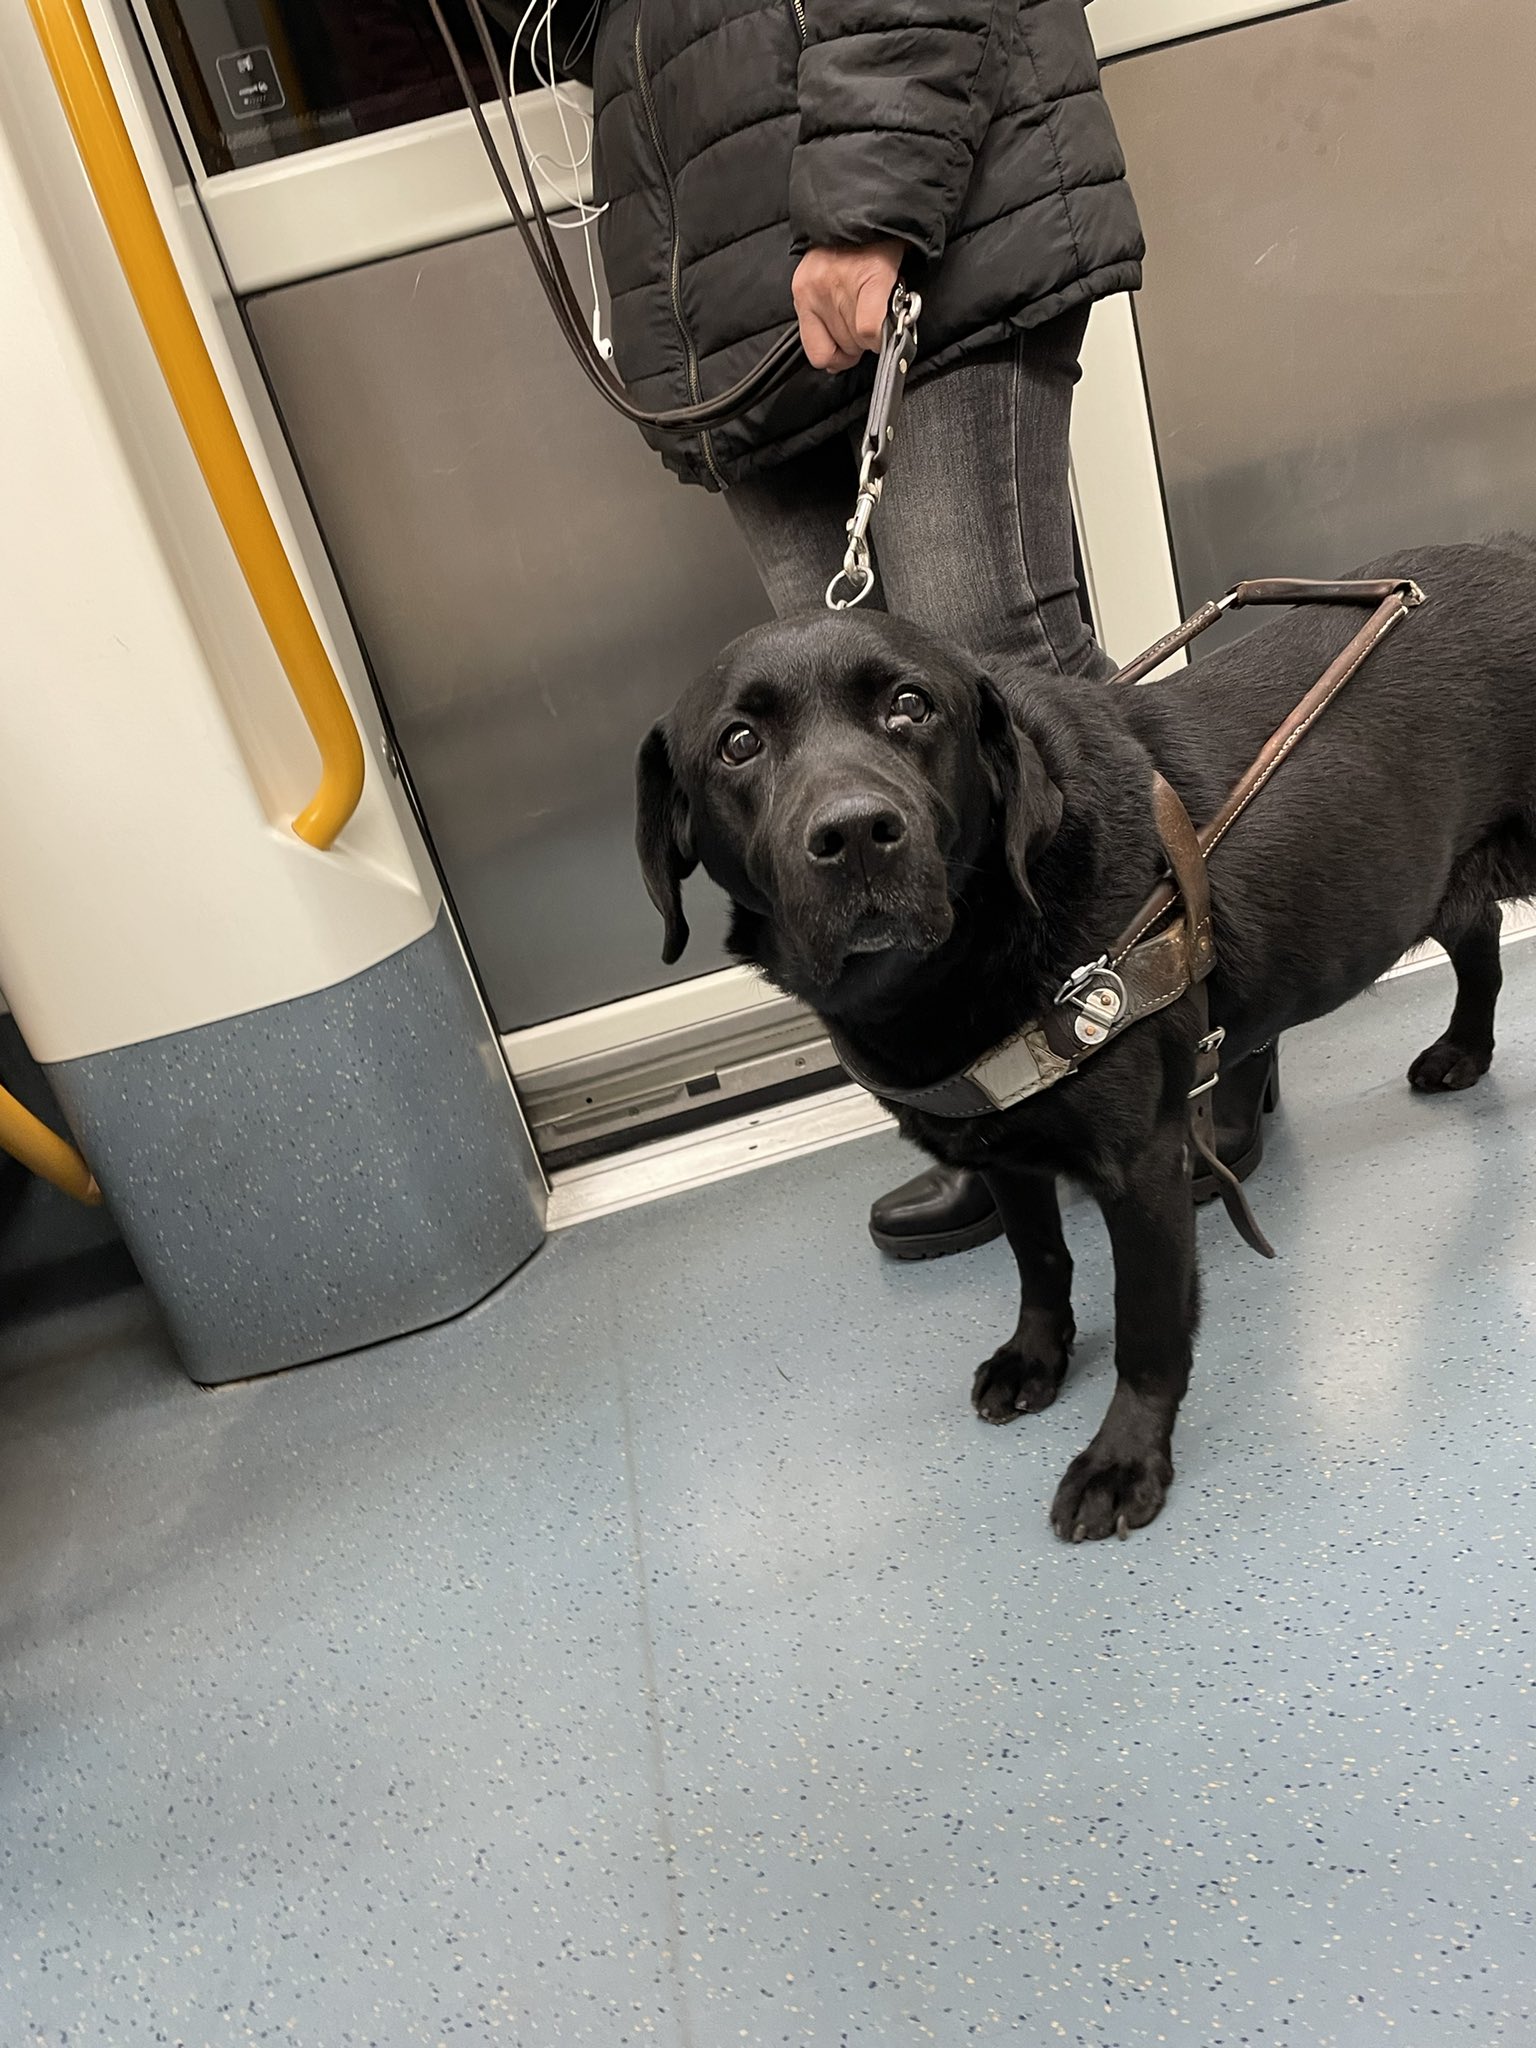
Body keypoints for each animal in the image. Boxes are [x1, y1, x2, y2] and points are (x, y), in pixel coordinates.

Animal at [635, 541, 1536, 1539]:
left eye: (911, 704)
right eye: (738, 743)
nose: (859, 832)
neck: (954, 969)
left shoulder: (1139, 1166)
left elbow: (1145, 1324)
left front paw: (1123, 1461)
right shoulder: (1003, 1152)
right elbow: (1040, 1261)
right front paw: (1036, 1358)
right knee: (1479, 943)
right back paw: (1461, 1053)